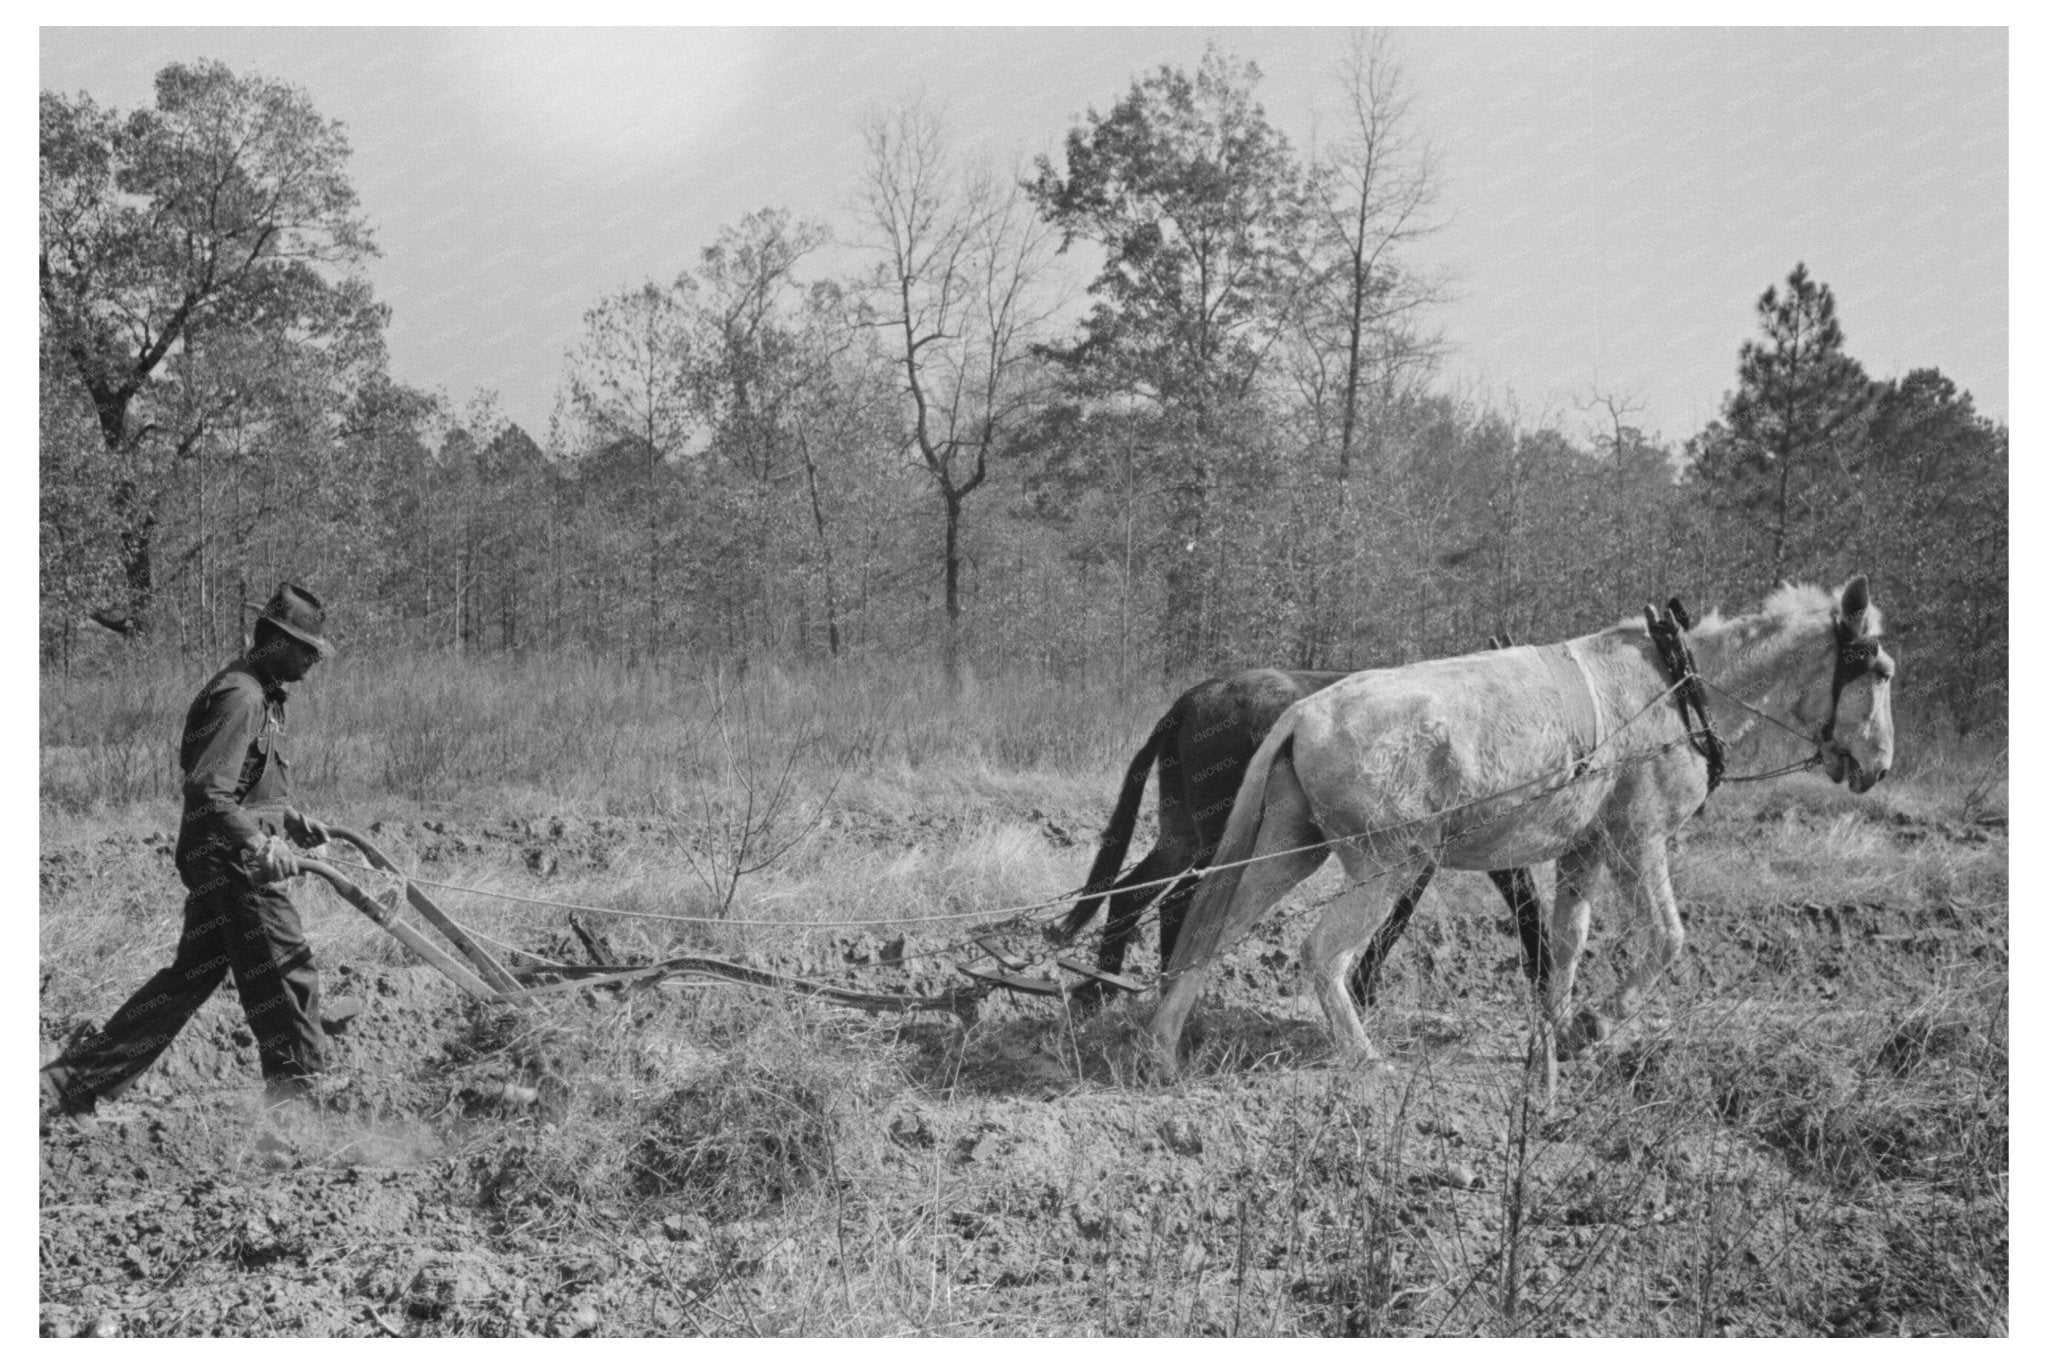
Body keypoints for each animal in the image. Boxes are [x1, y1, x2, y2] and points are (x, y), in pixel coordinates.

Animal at [1146, 573, 1892, 1081]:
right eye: (1880, 670)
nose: (1879, 765)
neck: (1677, 688)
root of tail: (1303, 712)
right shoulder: (1638, 837)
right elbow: (1665, 939)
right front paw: (1596, 1022)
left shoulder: (1584, 850)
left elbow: (1566, 942)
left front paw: (1558, 1031)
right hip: (1387, 866)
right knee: (1323, 955)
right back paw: (1364, 1058)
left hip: (1288, 849)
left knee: (1211, 933)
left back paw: (1163, 1044)